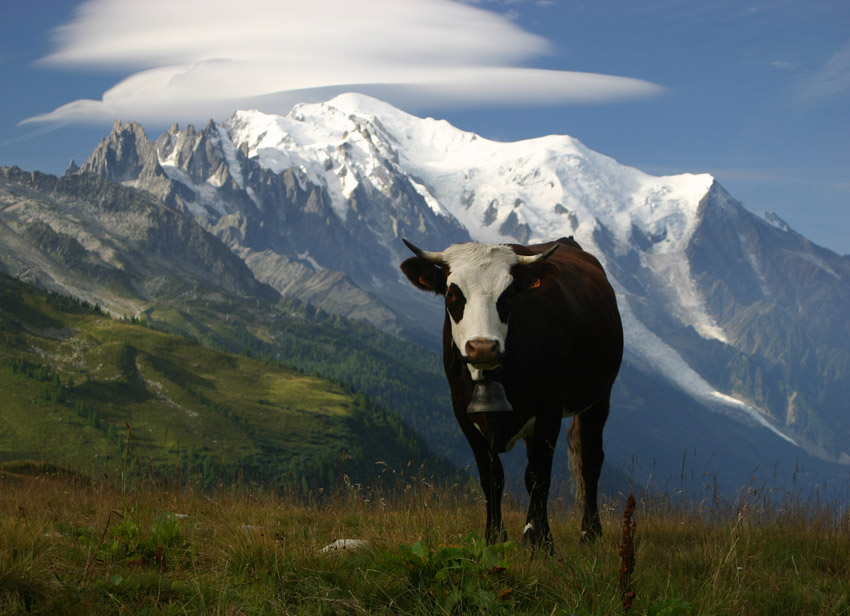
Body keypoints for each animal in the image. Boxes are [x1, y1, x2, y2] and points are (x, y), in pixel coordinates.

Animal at [398, 237, 624, 548]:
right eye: (451, 293)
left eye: (508, 295)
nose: (482, 347)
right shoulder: (461, 410)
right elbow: (491, 475)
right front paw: (493, 537)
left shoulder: (549, 405)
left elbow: (538, 474)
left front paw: (538, 541)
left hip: (599, 397)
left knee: (589, 460)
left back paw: (590, 533)